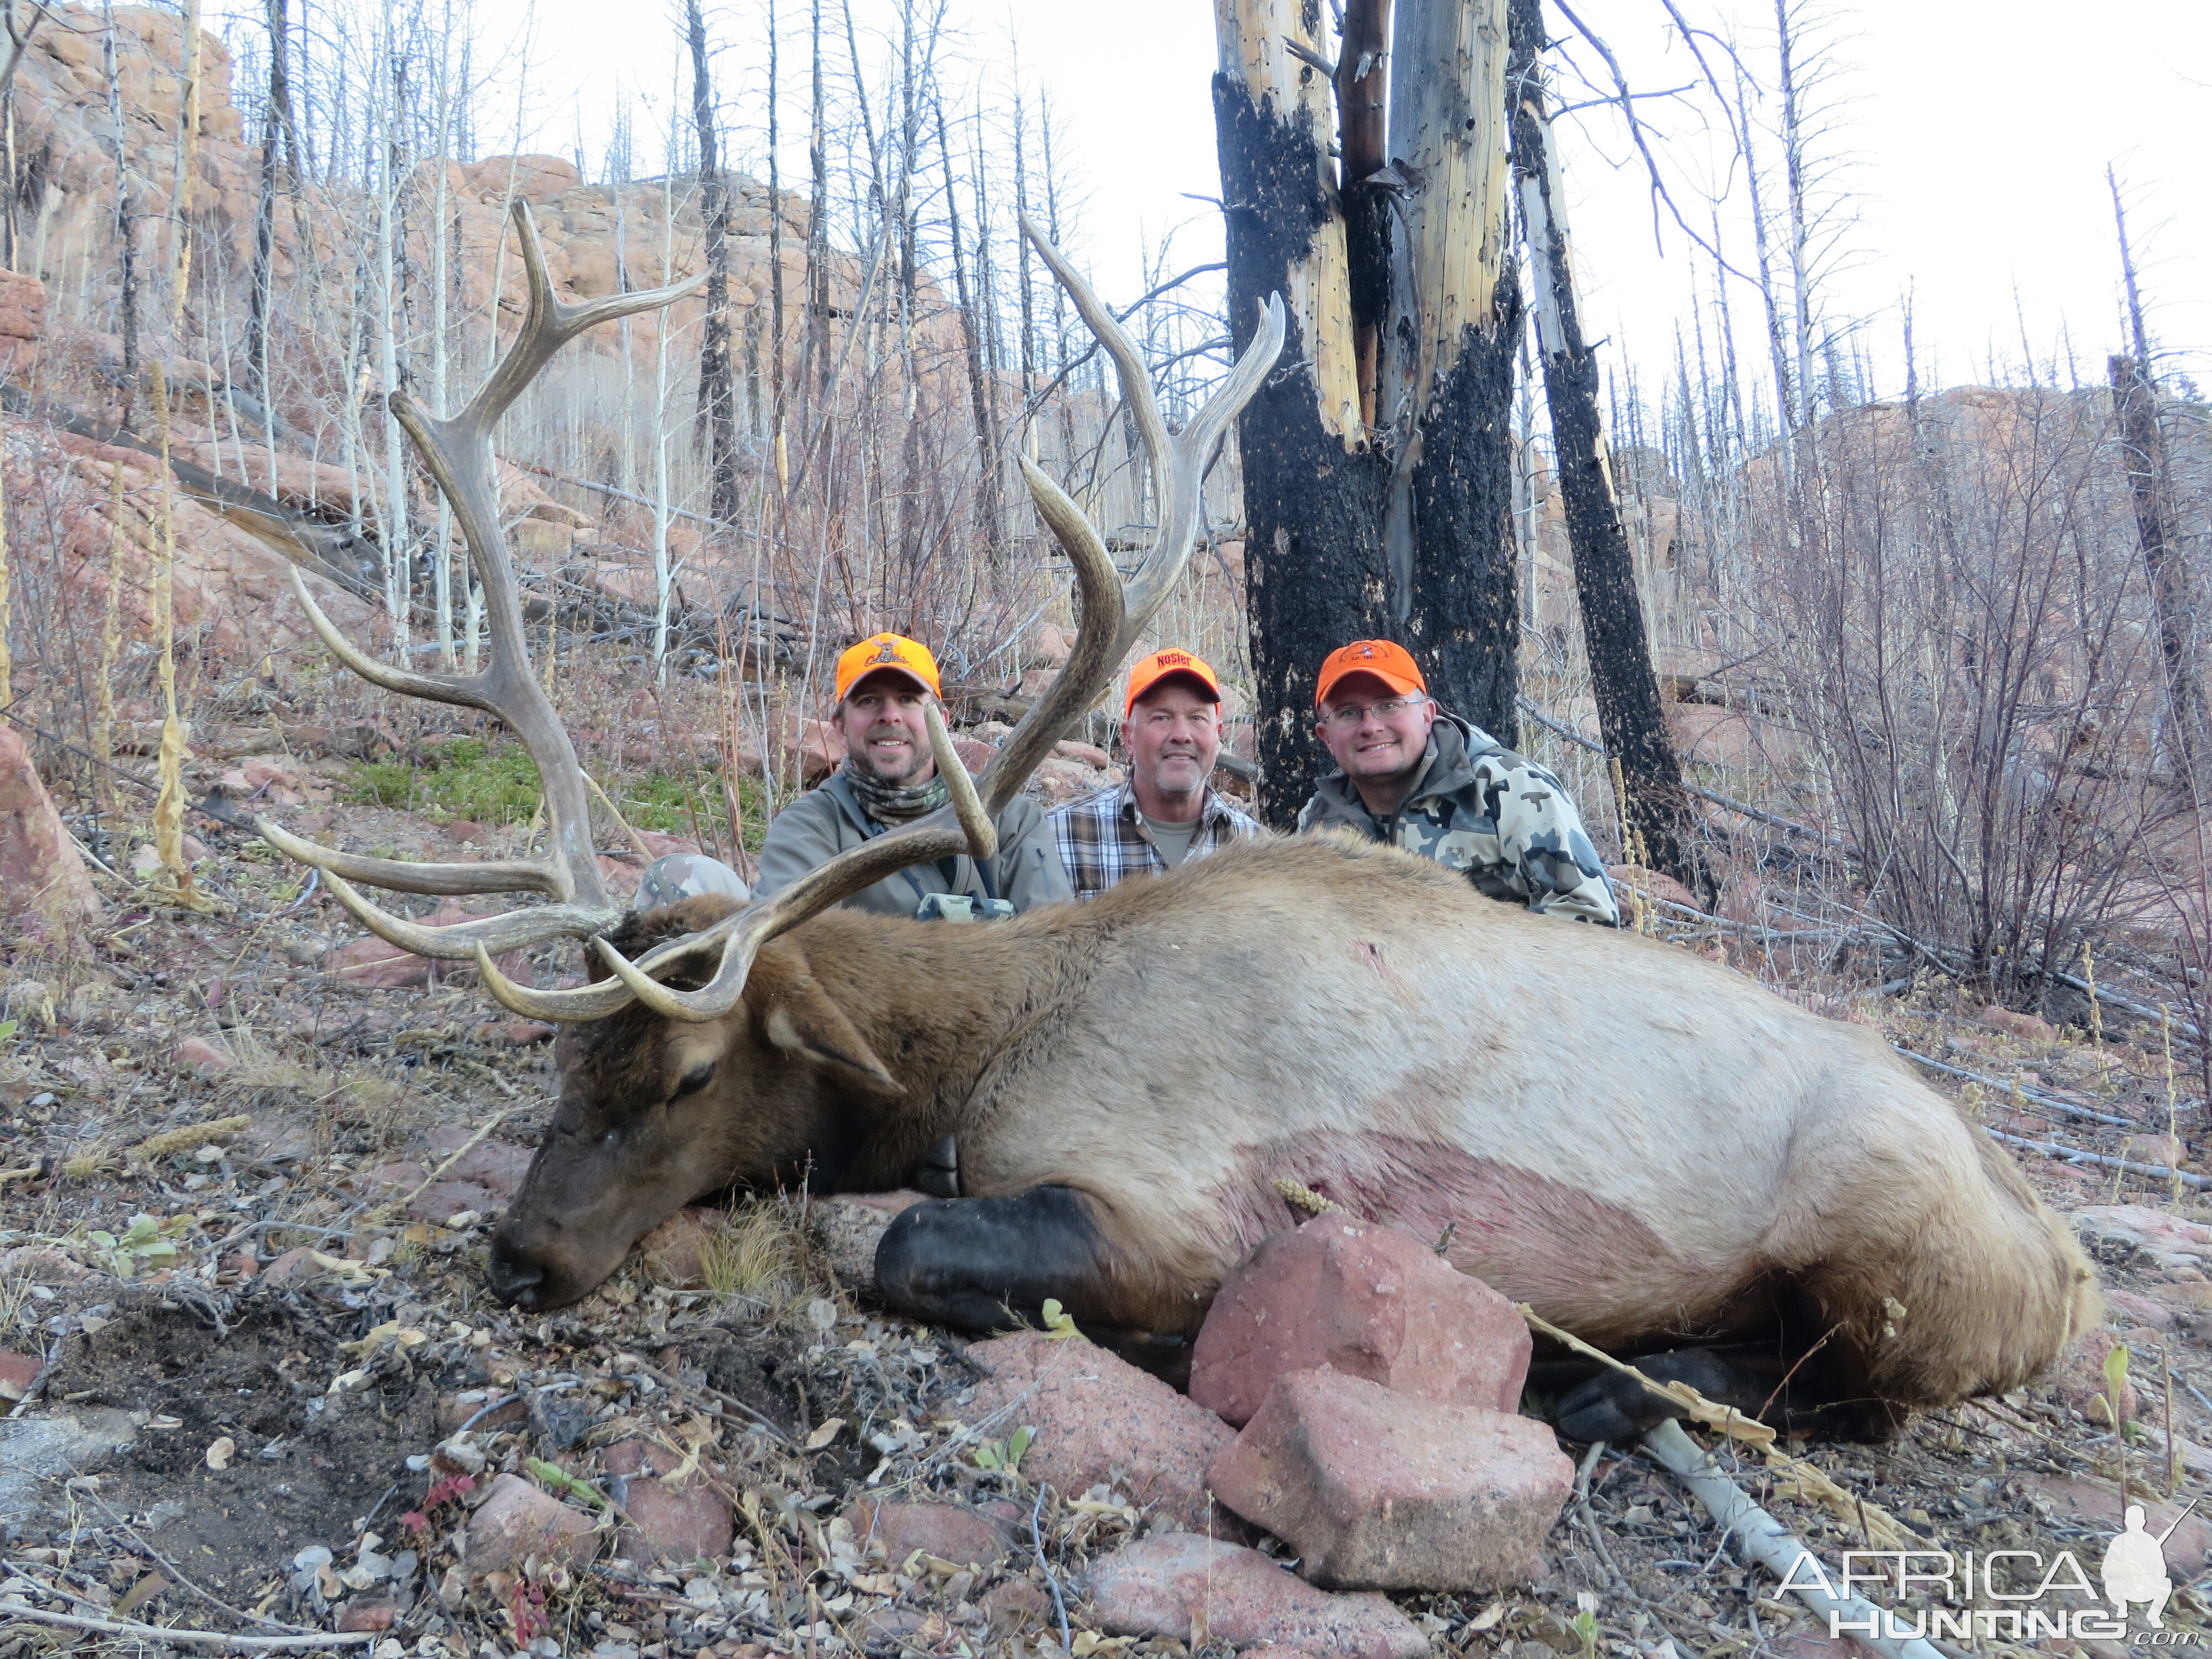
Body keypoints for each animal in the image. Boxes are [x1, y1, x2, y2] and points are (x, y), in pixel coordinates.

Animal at [259, 198, 2088, 1442]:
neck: (987, 1037)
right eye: (570, 1054)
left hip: (1888, 1244)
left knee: (1846, 1390)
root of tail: (2060, 1254)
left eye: (698, 1074)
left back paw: (1613, 1383)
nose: (517, 1255)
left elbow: (907, 1240)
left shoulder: (1178, 1198)